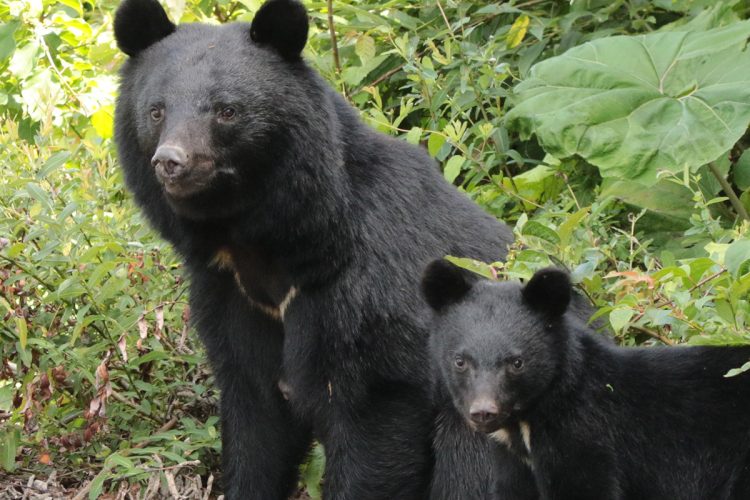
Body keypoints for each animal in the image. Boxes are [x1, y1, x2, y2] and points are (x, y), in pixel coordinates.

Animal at [113, 0, 536, 498]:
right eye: (156, 111)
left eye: (227, 111)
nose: (171, 162)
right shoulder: (230, 297)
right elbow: (256, 417)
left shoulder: (370, 298)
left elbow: (372, 424)